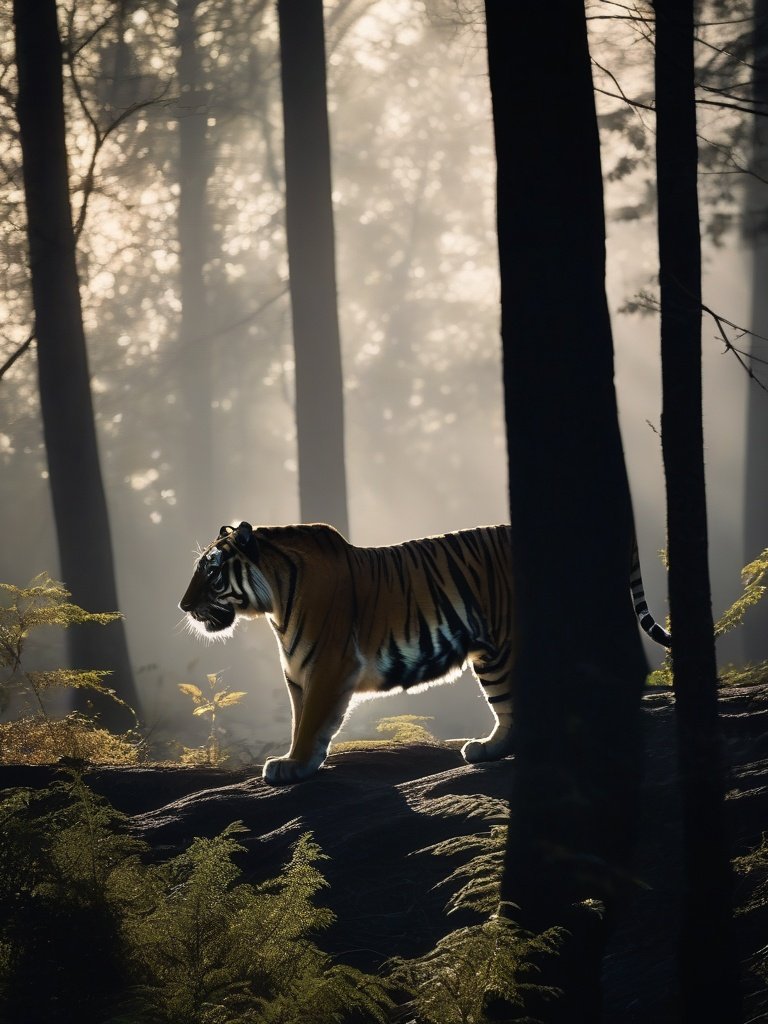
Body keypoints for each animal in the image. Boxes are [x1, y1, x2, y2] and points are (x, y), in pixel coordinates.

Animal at [179, 521, 671, 785]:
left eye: (212, 571)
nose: (183, 606)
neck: (275, 602)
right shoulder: (299, 675)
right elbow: (304, 721)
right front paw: (303, 762)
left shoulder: (328, 666)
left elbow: (313, 722)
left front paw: (294, 765)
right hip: (492, 656)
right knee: (512, 710)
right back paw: (487, 749)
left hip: (513, 643)